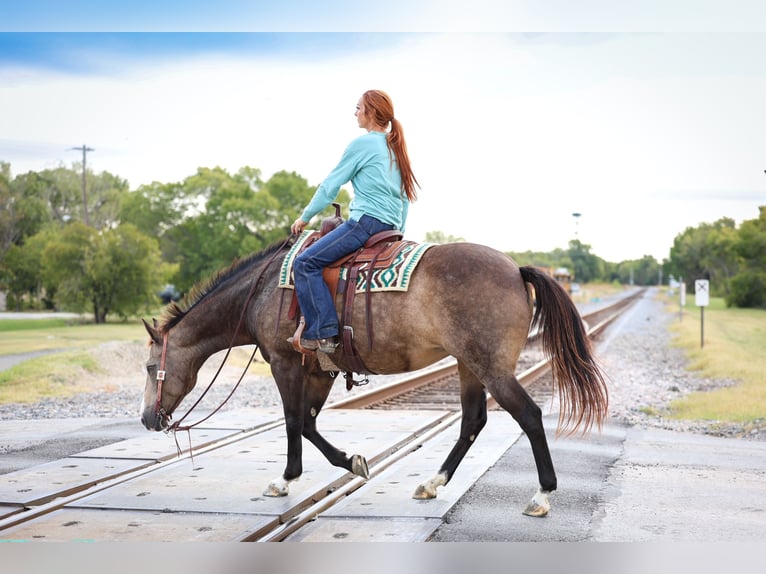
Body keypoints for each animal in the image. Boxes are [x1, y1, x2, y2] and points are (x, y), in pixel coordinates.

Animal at [139, 236, 608, 517]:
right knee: (473, 422)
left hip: (491, 368)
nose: (146, 419)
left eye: (148, 366)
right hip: (467, 365)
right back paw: (432, 483)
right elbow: (308, 423)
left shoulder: (284, 363)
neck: (263, 291)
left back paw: (541, 496)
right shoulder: (319, 369)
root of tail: (515, 269)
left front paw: (286, 479)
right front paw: (351, 461)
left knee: (529, 416)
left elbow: (292, 421)